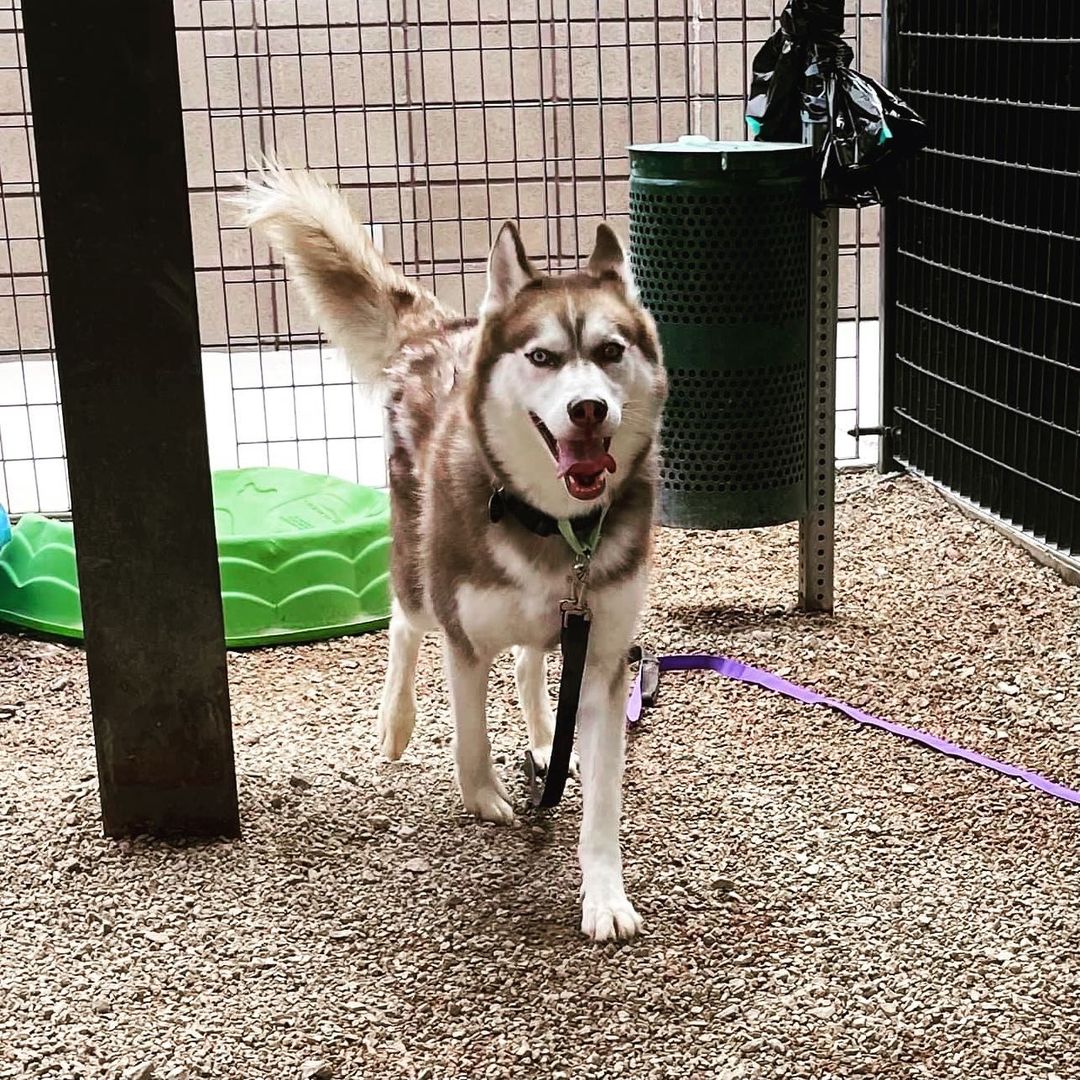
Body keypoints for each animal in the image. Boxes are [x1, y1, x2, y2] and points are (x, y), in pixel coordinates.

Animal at [244, 164, 665, 941]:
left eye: (611, 352)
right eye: (542, 356)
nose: (589, 408)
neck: (549, 524)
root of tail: (442, 330)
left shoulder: (600, 652)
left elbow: (601, 801)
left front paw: (604, 896)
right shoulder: (465, 636)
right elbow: (469, 736)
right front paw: (486, 795)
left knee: (530, 666)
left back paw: (543, 739)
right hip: (416, 565)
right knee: (403, 621)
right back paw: (397, 723)